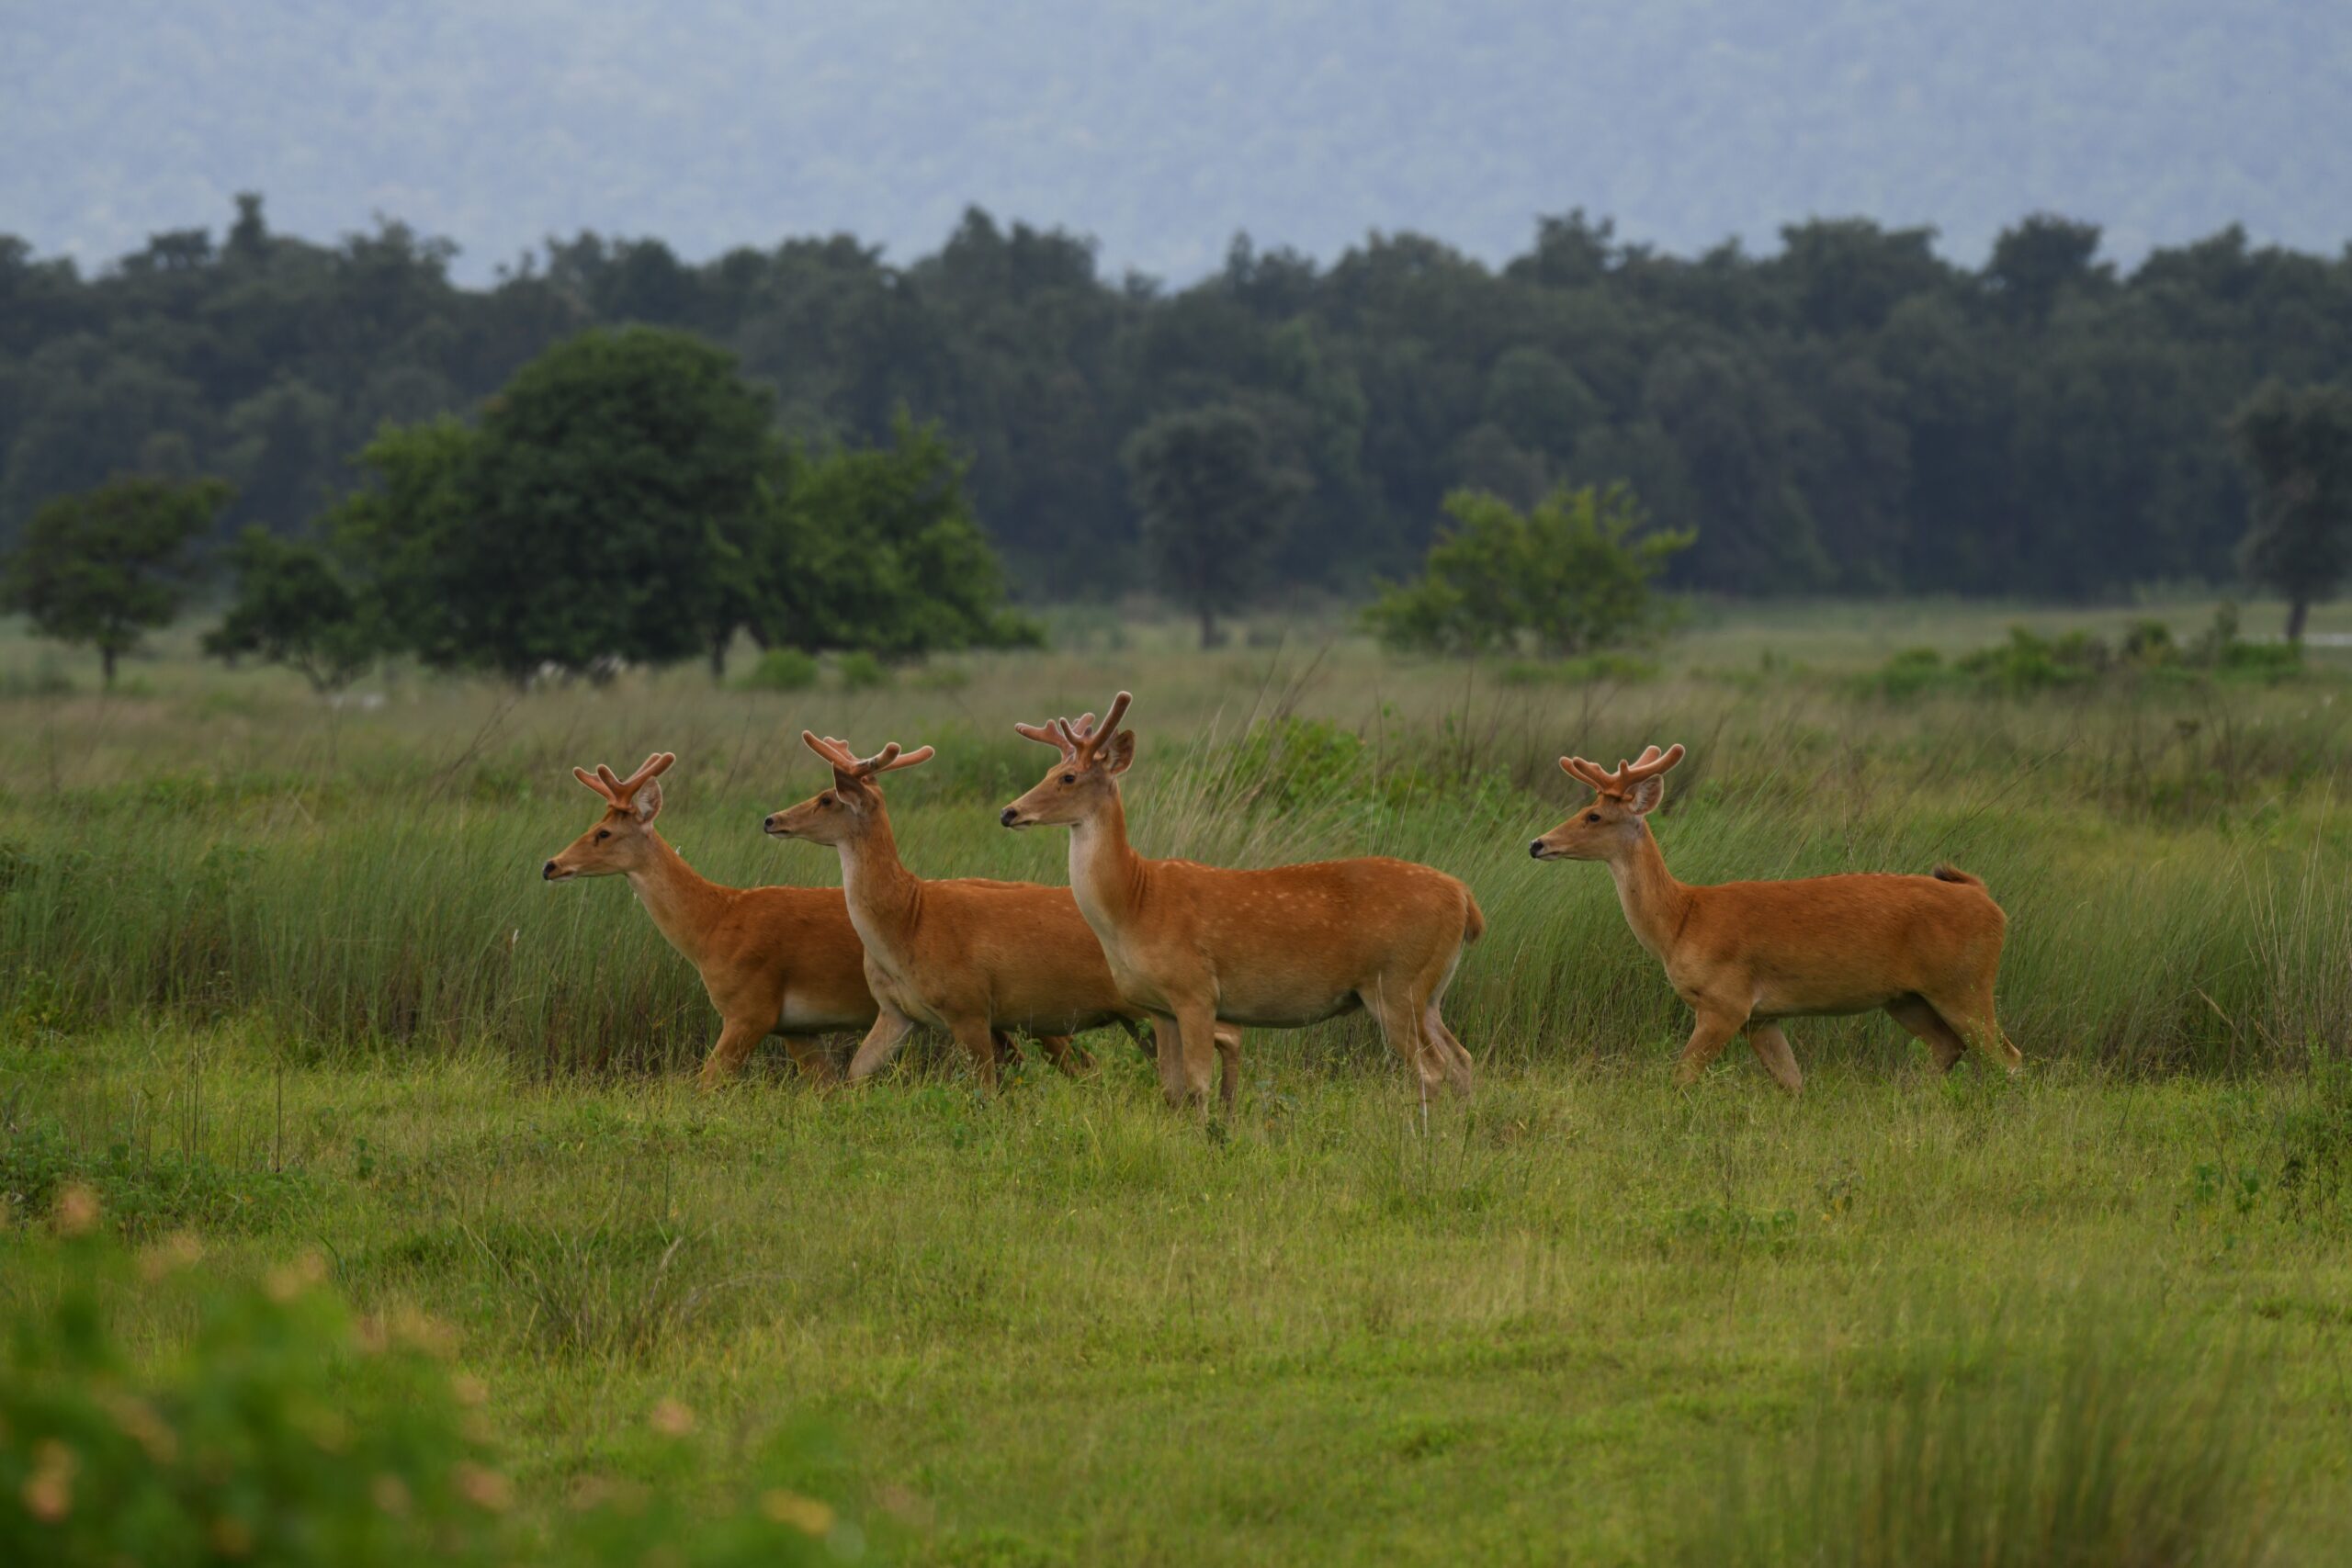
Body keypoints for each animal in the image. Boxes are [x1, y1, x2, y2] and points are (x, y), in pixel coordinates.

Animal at [542, 752, 1083, 1088]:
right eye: (592, 825)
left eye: (604, 833)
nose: (550, 864)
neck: (714, 923)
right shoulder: (795, 1029)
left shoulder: (750, 1009)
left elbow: (705, 1085)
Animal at [762, 732, 1243, 1095]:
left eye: (827, 798)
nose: (771, 819)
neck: (908, 920)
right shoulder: (897, 1012)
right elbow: (854, 1073)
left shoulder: (970, 1005)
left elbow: (988, 1091)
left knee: (1227, 1035)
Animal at [999, 693, 1485, 1111]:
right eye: (1048, 770)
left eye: (1068, 777)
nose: (1009, 812)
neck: (1134, 903)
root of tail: (1465, 899)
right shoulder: (1159, 1006)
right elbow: (1171, 1089)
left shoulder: (1196, 990)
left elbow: (1197, 1085)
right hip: (1430, 990)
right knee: (1462, 1059)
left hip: (1396, 981)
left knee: (1431, 1068)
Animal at [1527, 744, 2021, 1094]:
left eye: (1594, 815)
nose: (1537, 844)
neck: (1682, 919)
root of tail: (1987, 900)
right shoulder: (1762, 1017)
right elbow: (1792, 1082)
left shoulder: (1725, 1001)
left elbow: (1681, 1077)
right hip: (1907, 998)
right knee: (1949, 1047)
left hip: (1965, 984)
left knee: (2006, 1058)